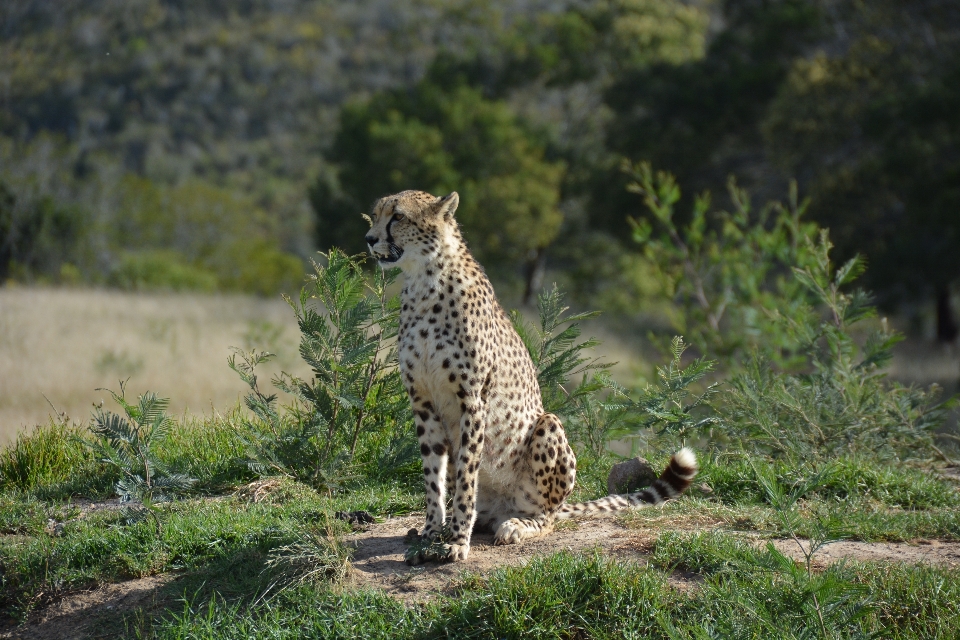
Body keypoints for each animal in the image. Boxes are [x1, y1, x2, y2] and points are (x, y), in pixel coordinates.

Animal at [364, 188, 692, 564]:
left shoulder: (472, 400)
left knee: (546, 516)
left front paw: (457, 540)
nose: (369, 238)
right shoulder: (422, 401)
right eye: (376, 215)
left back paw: (517, 525)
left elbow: (466, 475)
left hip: (547, 426)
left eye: (398, 217)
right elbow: (434, 477)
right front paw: (432, 533)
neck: (423, 280)